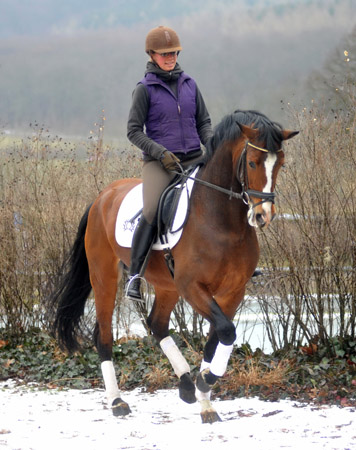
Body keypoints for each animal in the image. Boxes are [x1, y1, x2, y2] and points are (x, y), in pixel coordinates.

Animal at [50, 109, 298, 422]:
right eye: (252, 162)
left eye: (281, 164)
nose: (263, 215)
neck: (222, 221)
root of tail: (101, 197)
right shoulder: (192, 287)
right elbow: (227, 331)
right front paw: (205, 381)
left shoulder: (233, 292)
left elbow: (217, 338)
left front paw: (205, 398)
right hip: (104, 276)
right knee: (103, 334)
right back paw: (118, 401)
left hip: (166, 285)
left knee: (157, 324)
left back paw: (186, 385)